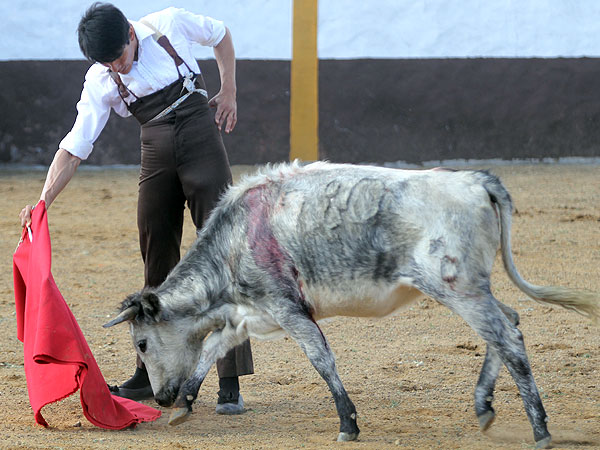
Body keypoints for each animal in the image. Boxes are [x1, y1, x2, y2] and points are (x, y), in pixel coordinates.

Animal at [105, 161, 596, 446]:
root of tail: (476, 179)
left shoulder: (286, 308)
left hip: (457, 289)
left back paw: (540, 429)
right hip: (472, 289)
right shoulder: (249, 315)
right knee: (508, 322)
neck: (235, 240)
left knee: (507, 335)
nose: (162, 397)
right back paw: (485, 408)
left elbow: (321, 359)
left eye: (142, 343)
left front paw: (348, 423)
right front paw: (186, 404)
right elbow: (210, 348)